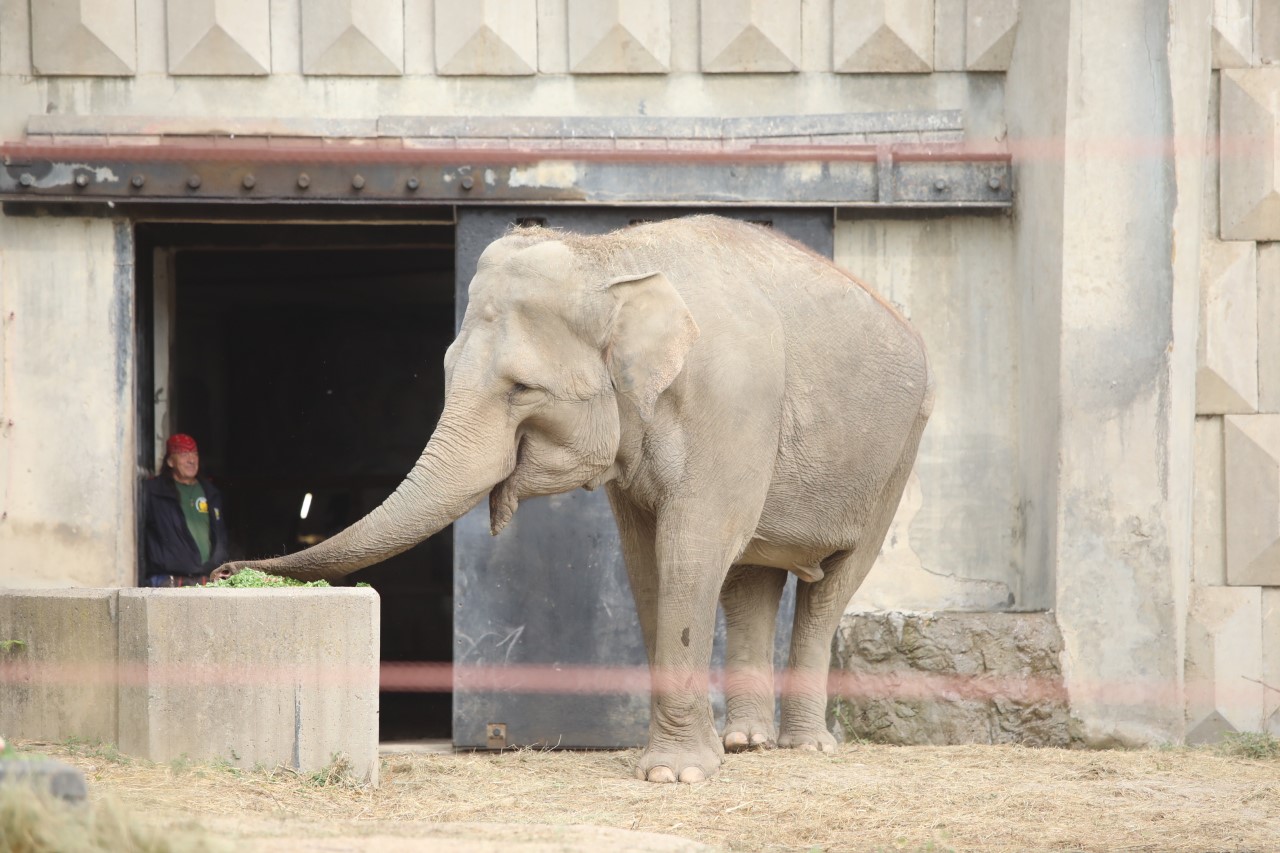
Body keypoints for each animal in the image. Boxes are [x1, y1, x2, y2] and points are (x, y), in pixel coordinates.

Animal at [217, 213, 931, 783]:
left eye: (522, 389)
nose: (224, 570)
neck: (609, 257)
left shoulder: (733, 406)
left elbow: (691, 550)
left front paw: (674, 775)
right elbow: (646, 565)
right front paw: (687, 762)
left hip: (897, 455)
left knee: (831, 587)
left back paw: (806, 748)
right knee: (751, 581)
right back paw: (745, 744)